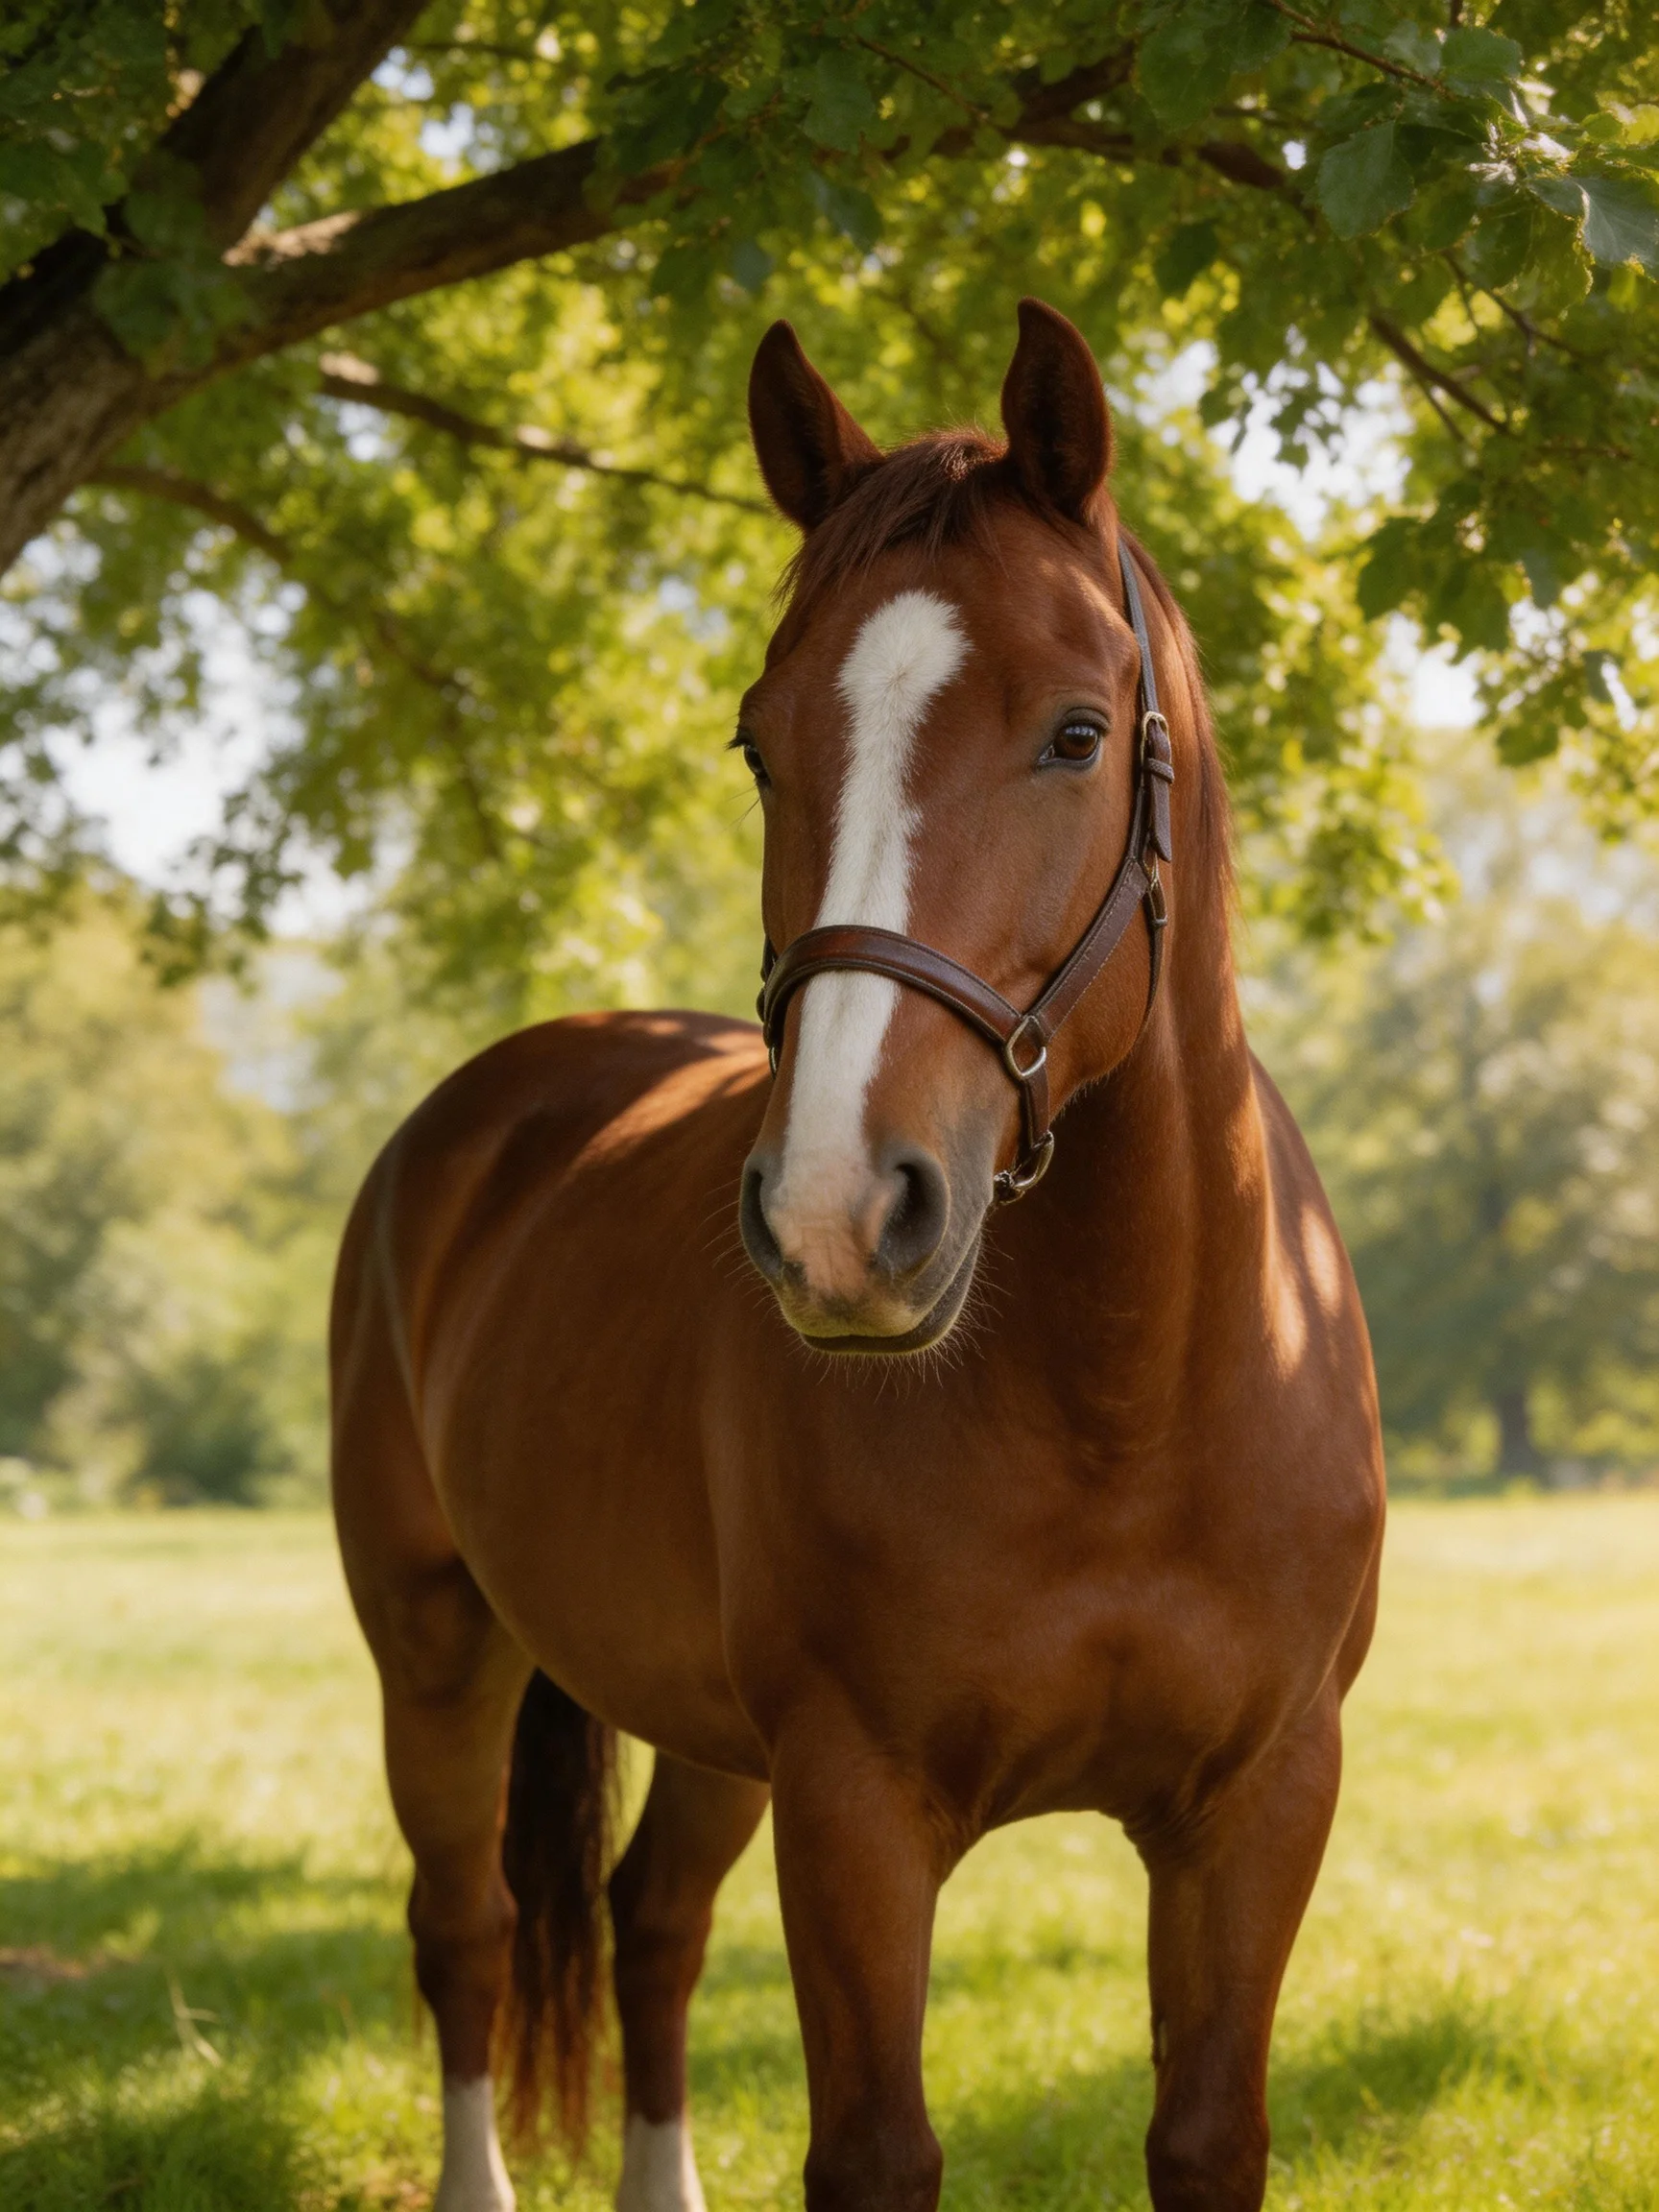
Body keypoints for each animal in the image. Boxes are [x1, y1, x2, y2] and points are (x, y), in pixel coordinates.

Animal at [330, 297, 1385, 2212]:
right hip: (434, 1646)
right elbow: (875, 2151)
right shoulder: (854, 1805)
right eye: (760, 742)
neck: (1128, 1400)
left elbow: (1206, 2136)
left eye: (1075, 733)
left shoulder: (1260, 1805)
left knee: (651, 1924)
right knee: (466, 1932)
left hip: (692, 1730)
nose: (834, 1214)